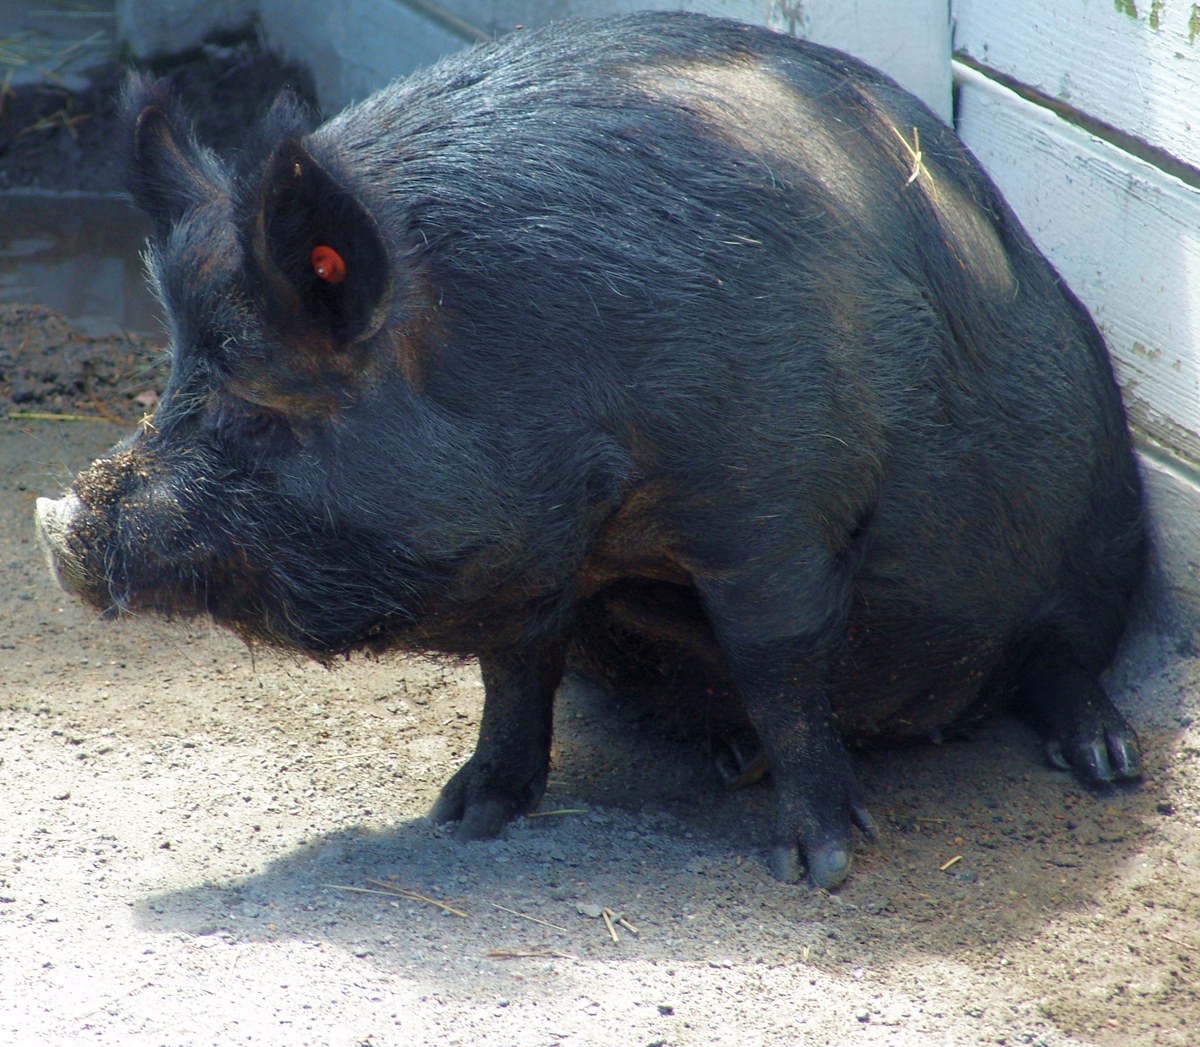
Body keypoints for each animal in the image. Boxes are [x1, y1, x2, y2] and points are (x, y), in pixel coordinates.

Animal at [35, 11, 1146, 889]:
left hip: (1101, 527)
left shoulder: (771, 507)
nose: (64, 526)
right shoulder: (523, 554)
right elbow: (513, 667)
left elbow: (780, 662)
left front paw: (818, 868)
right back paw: (728, 753)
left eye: (260, 392)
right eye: (178, 369)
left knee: (1065, 653)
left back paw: (1108, 763)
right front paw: (462, 818)